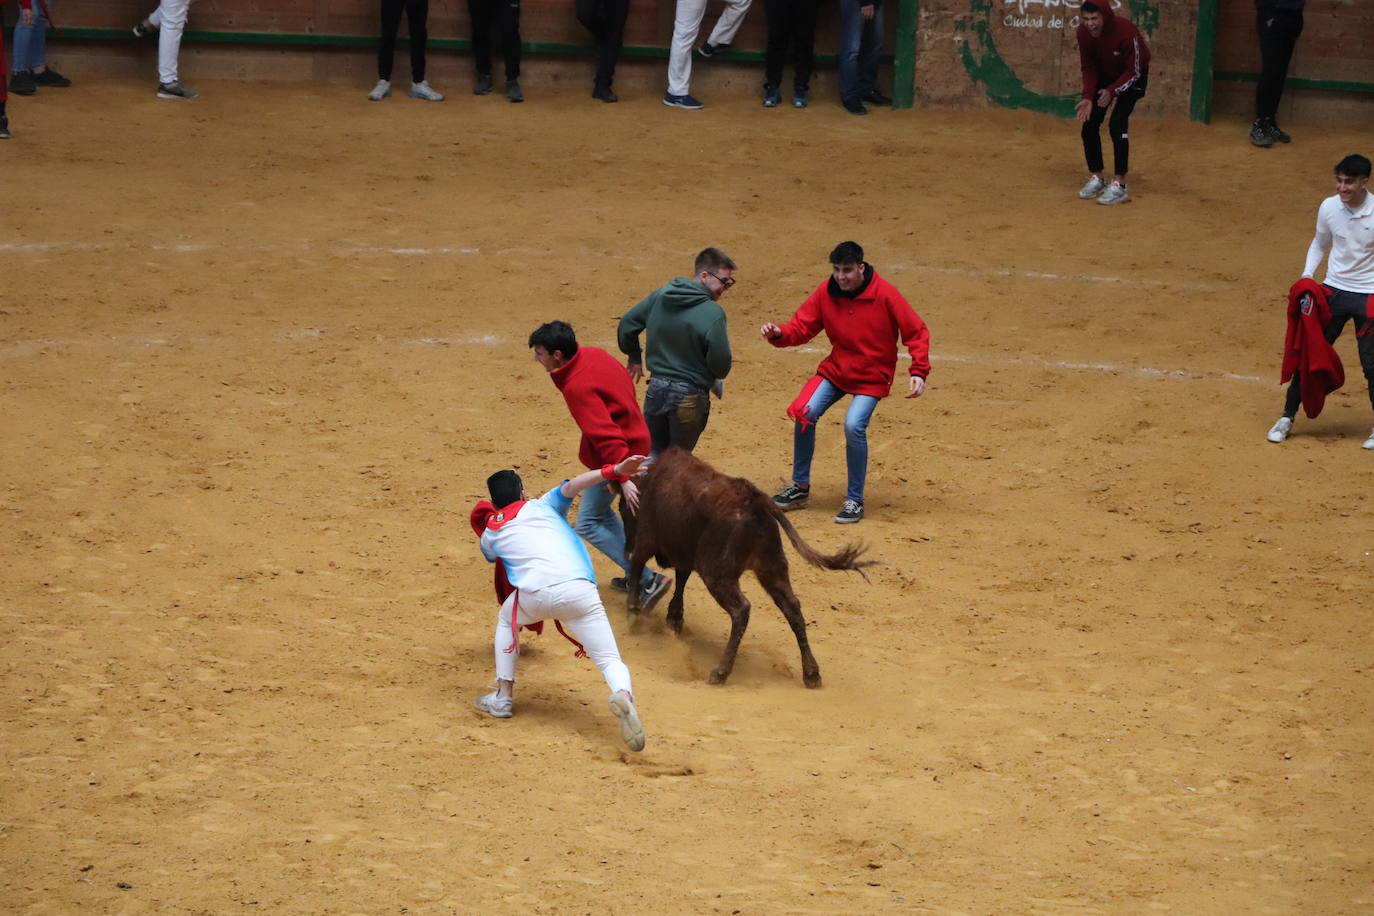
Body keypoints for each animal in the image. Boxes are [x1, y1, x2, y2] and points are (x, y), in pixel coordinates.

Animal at [626, 444, 868, 686]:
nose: (627, 544)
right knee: (792, 607)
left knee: (741, 610)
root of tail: (754, 500)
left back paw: (720, 672)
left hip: (717, 573)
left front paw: (633, 613)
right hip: (772, 567)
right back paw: (811, 674)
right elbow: (681, 579)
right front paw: (674, 619)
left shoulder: (647, 539)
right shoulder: (685, 553)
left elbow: (638, 565)